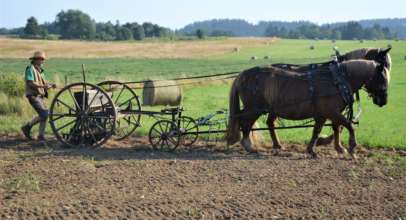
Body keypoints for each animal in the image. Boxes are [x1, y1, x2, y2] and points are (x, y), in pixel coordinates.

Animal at [227, 59, 392, 157]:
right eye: (382, 78)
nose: (383, 101)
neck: (338, 80)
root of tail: (241, 75)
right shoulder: (331, 112)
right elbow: (349, 125)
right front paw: (352, 148)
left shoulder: (326, 114)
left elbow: (323, 130)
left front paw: (322, 149)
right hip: (254, 108)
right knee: (244, 122)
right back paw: (248, 146)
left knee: (265, 123)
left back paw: (276, 145)